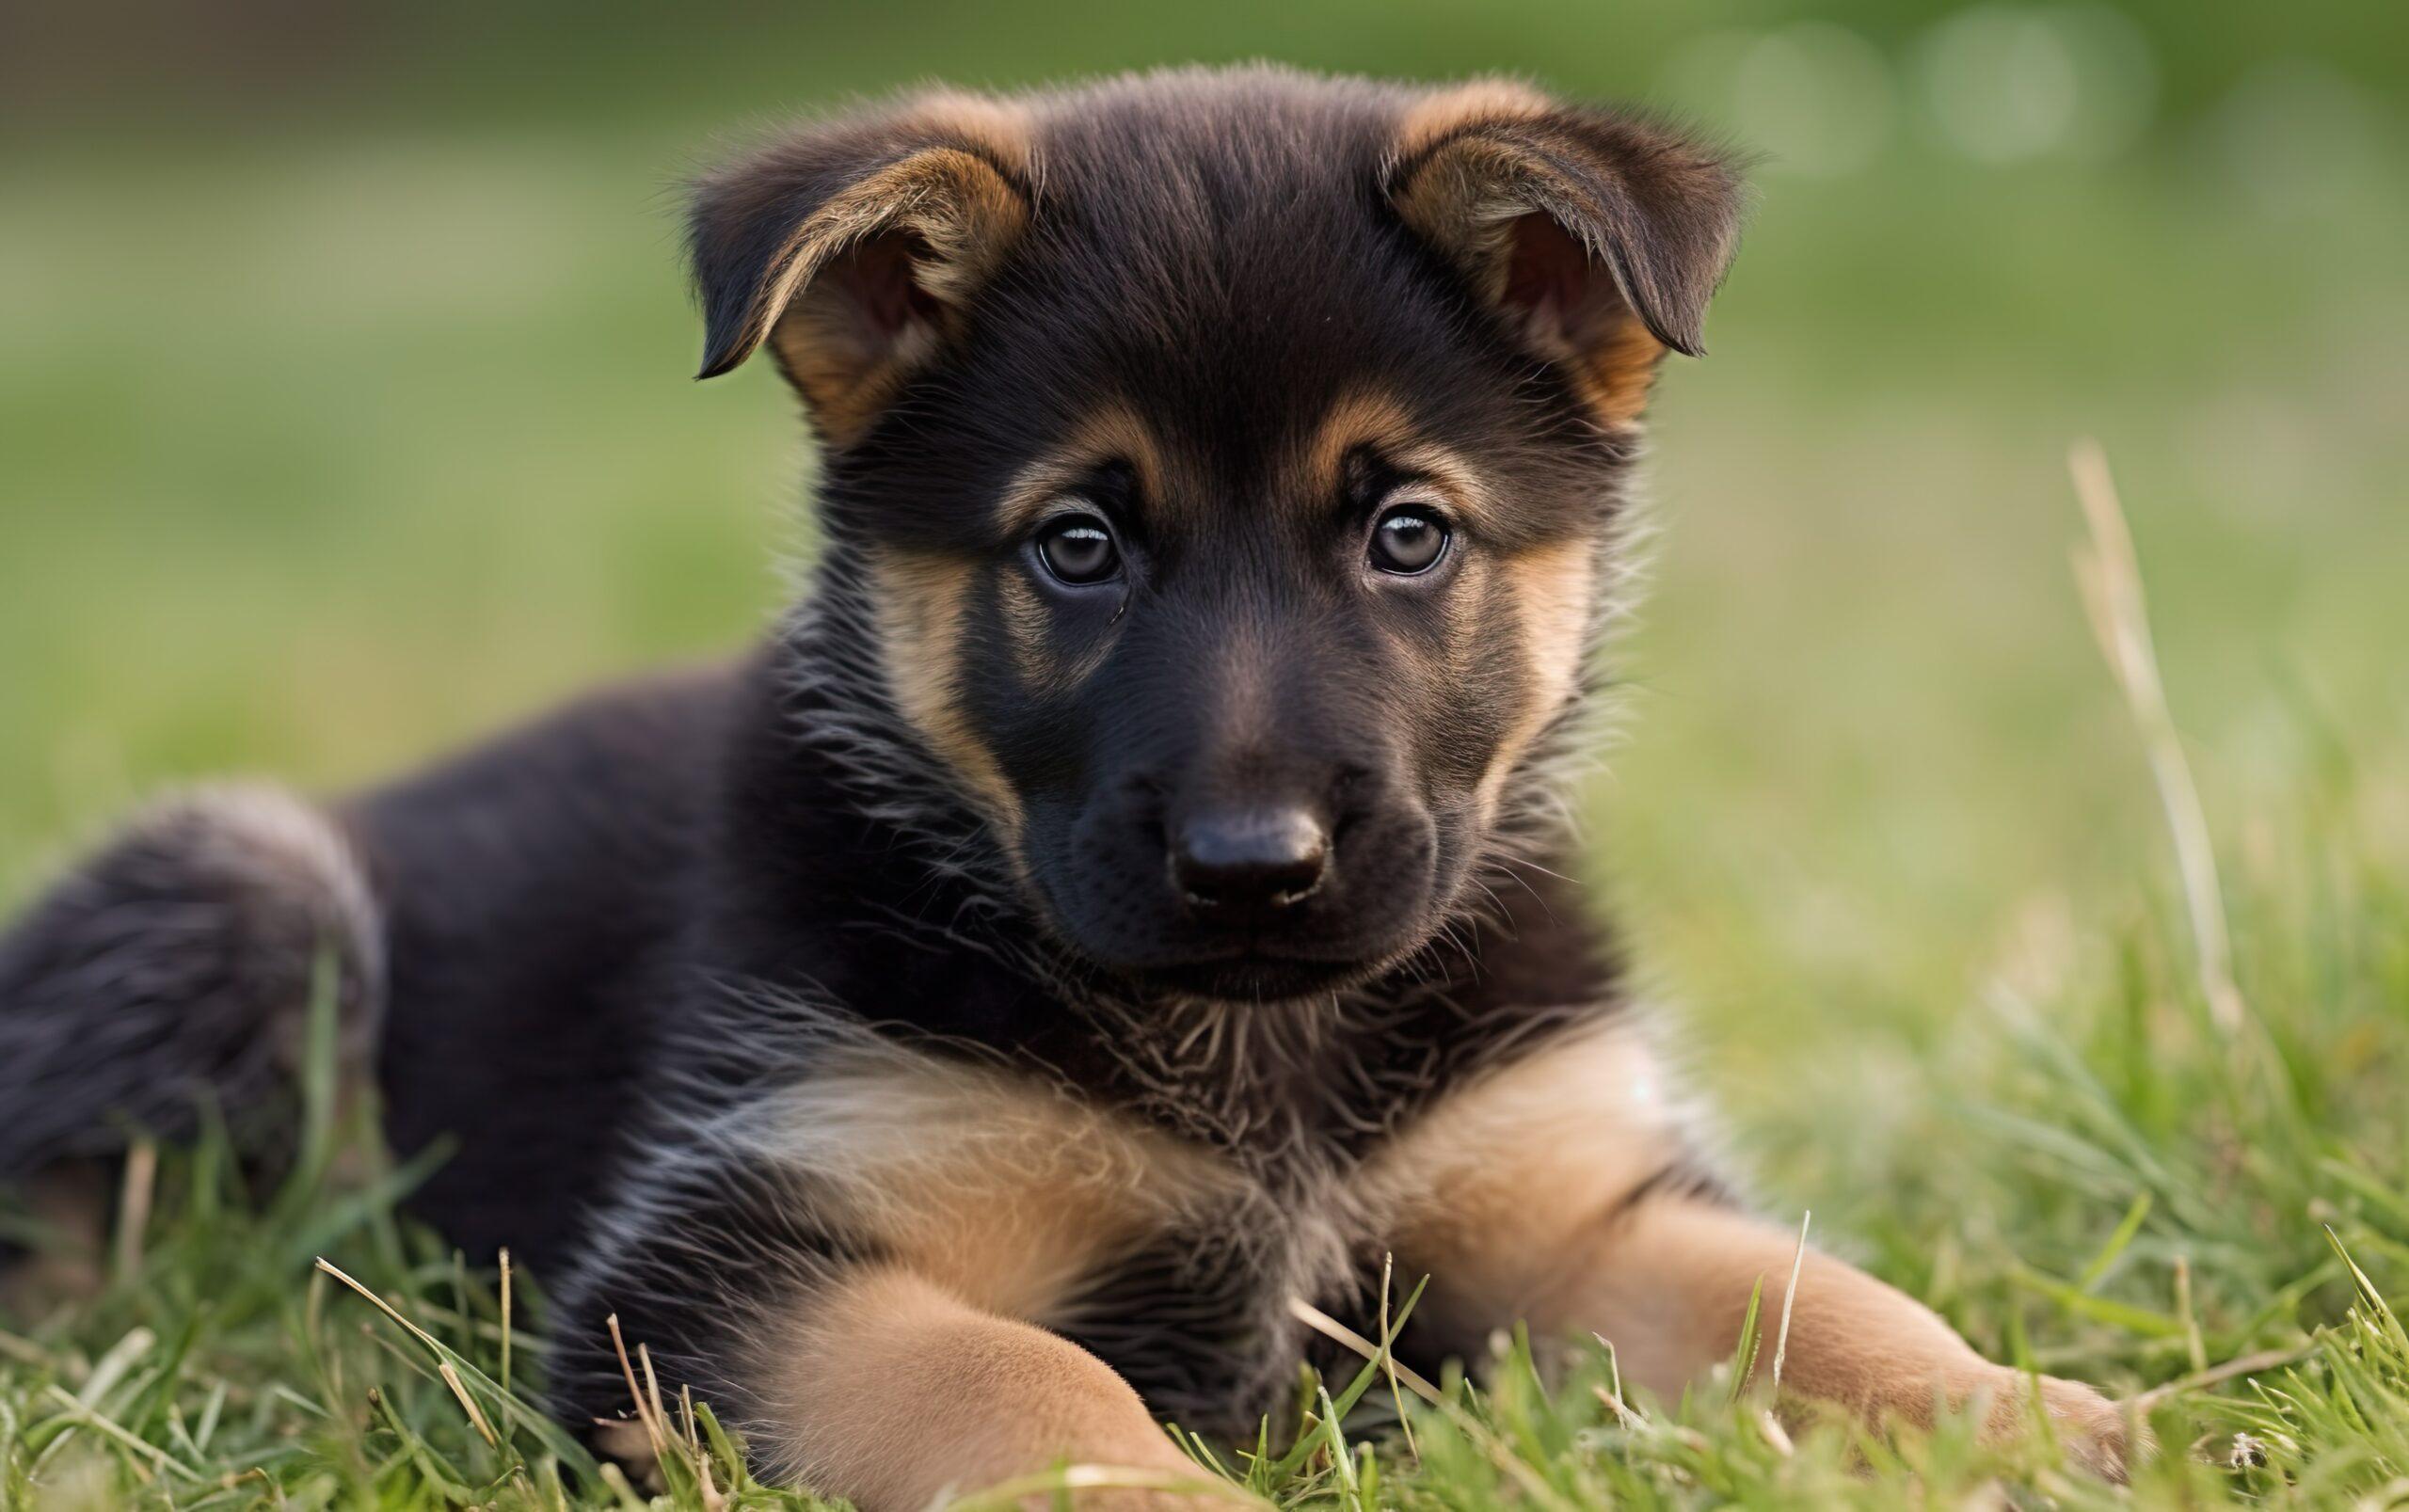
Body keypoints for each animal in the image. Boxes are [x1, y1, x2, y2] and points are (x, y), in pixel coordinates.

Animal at [9, 68, 2139, 1502]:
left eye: (1408, 530)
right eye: (1077, 546)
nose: (1255, 863)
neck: (1254, 1043)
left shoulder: (1568, 1207)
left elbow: (1817, 1298)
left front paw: (2027, 1413)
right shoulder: (736, 1258)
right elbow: (1025, 1392)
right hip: (247, 887)